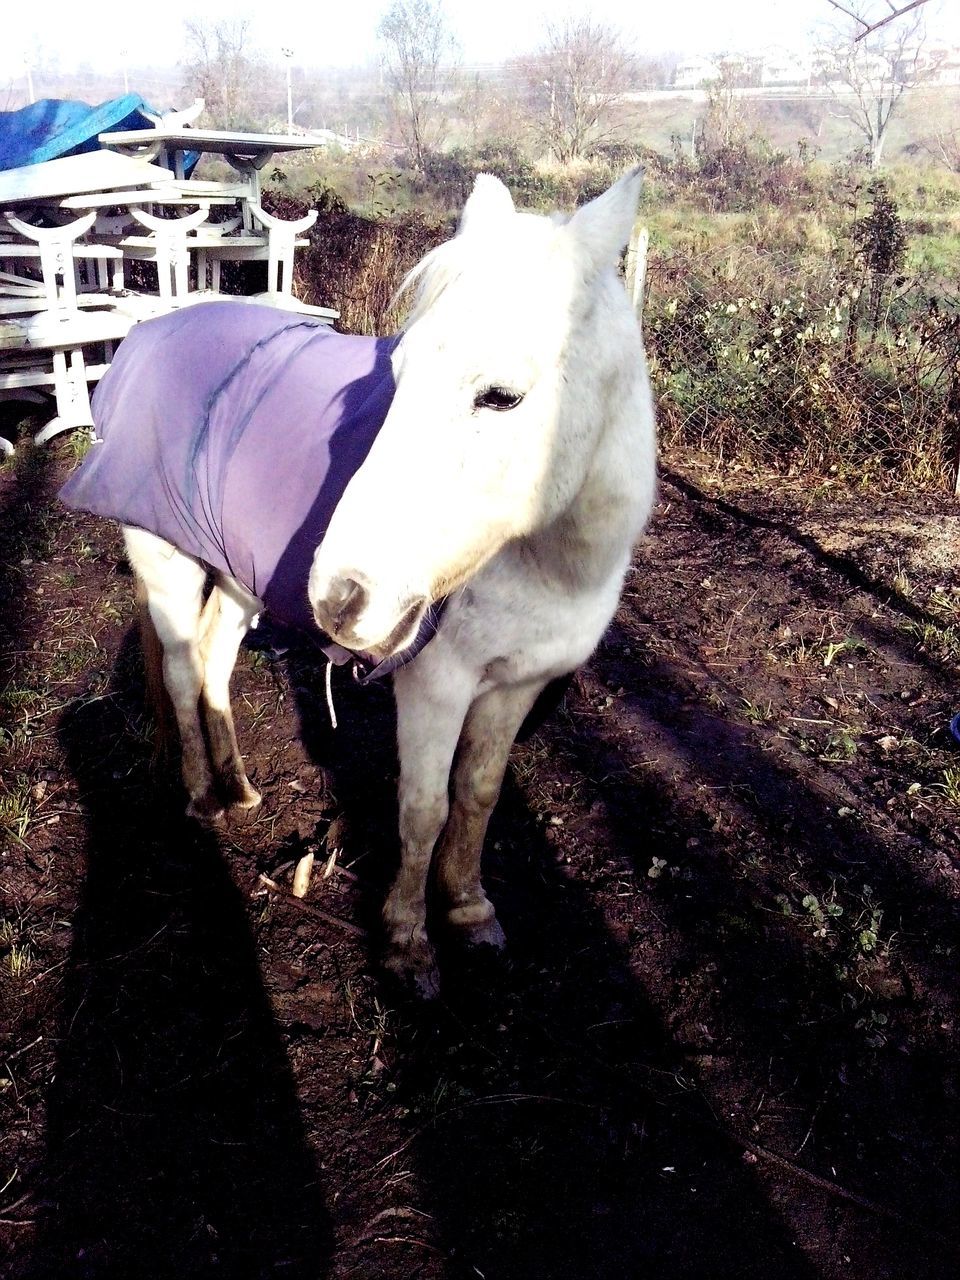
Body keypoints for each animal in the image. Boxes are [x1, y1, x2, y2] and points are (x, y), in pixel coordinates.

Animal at [116, 167, 660, 988]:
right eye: (398, 373)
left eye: (501, 395)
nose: (340, 597)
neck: (549, 562)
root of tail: (150, 333)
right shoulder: (437, 685)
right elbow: (424, 809)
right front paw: (407, 941)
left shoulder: (517, 684)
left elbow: (478, 796)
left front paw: (469, 910)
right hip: (164, 560)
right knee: (181, 669)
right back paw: (202, 795)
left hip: (240, 572)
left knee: (213, 657)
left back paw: (239, 786)